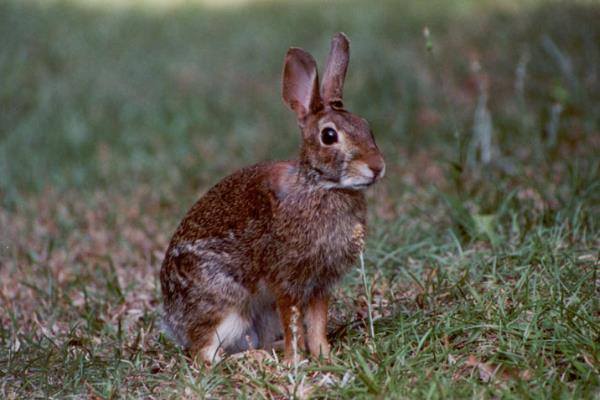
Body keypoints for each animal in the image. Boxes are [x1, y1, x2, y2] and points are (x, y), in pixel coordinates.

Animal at [159, 32, 384, 362]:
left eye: (366, 126)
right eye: (329, 136)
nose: (377, 167)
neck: (320, 185)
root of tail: (174, 323)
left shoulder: (320, 284)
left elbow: (316, 322)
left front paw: (324, 355)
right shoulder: (286, 280)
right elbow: (293, 320)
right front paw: (296, 362)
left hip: (260, 313)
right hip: (227, 307)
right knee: (206, 356)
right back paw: (259, 359)